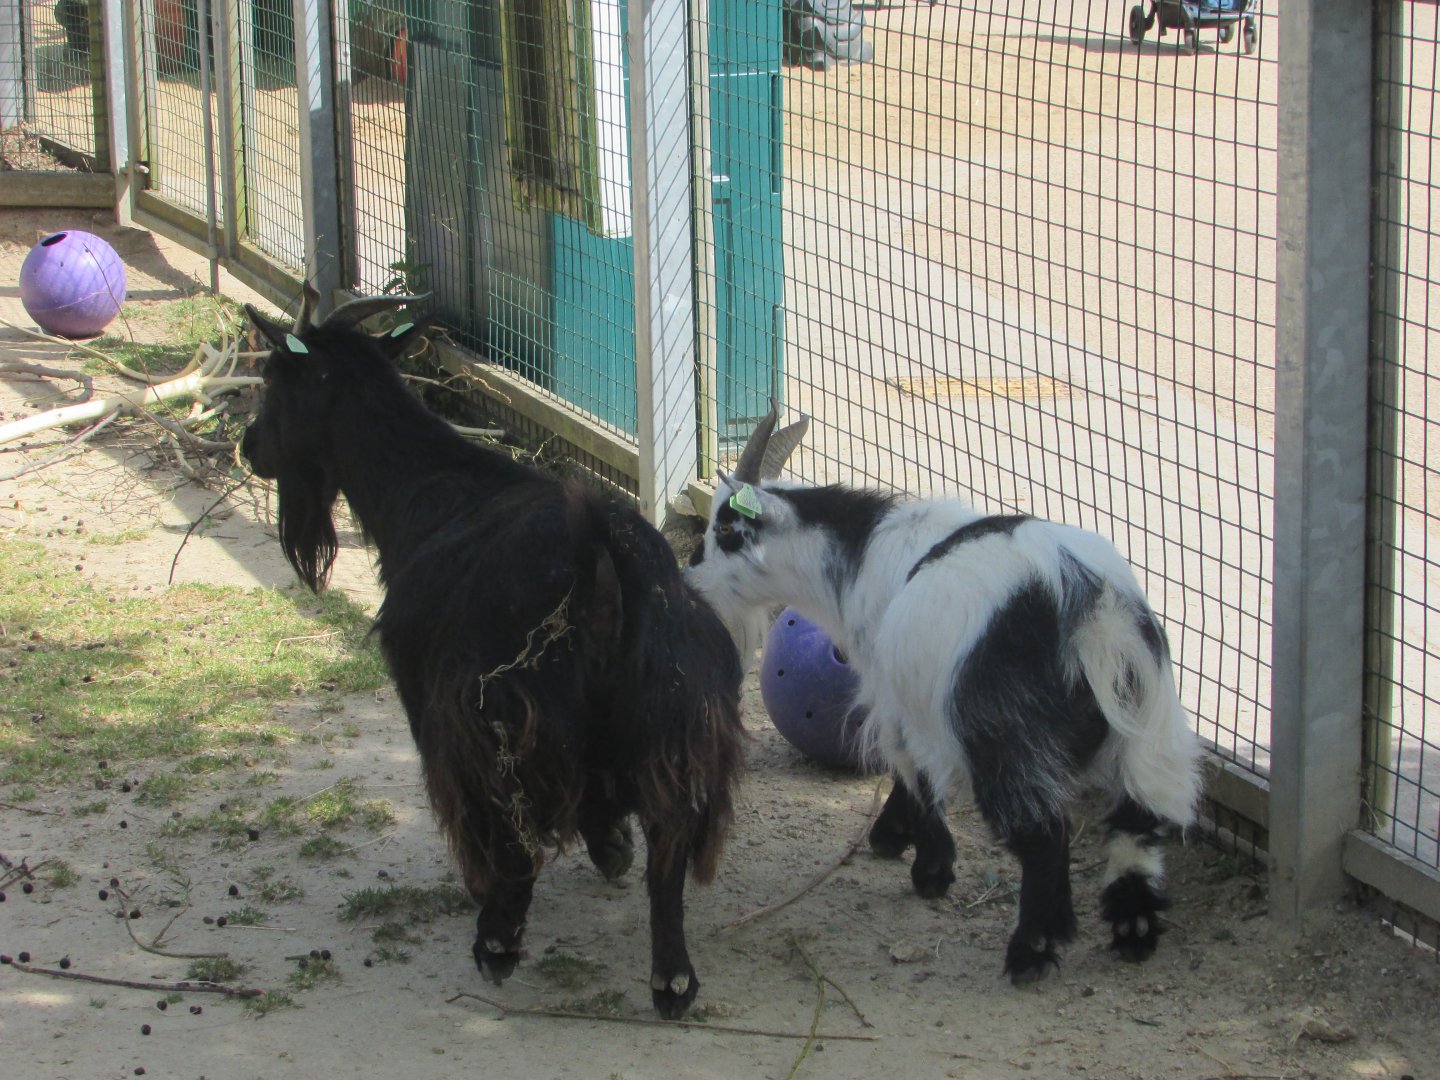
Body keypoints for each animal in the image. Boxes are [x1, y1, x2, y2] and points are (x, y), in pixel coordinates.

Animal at [240, 290, 746, 1018]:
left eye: (274, 381)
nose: (248, 446)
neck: (429, 488)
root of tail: (602, 569)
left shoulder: (426, 695)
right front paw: (610, 848)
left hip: (502, 723)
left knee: (514, 843)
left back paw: (498, 942)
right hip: (673, 725)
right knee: (668, 855)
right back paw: (672, 979)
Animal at [687, 406, 1203, 983]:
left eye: (727, 529)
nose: (691, 574)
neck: (863, 552)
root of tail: (1090, 605)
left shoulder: (896, 694)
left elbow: (913, 769)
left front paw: (927, 867)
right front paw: (896, 841)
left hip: (999, 728)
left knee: (1044, 831)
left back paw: (1031, 952)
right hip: (1150, 720)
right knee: (1140, 819)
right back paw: (1134, 930)